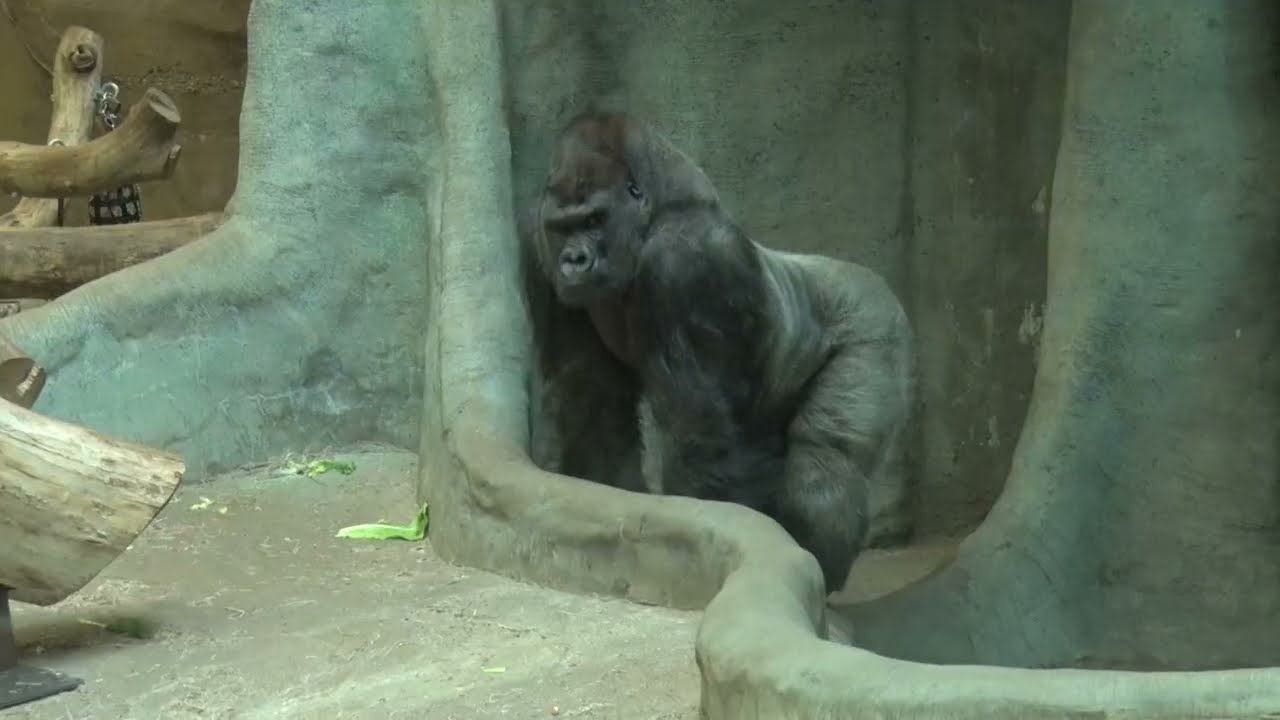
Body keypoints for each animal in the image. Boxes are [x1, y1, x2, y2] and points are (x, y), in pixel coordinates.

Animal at [520, 110, 916, 592]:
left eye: (594, 220)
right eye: (563, 227)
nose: (573, 261)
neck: (656, 212)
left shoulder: (684, 261)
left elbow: (701, 435)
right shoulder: (539, 247)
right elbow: (594, 403)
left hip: (876, 323)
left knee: (826, 459)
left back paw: (820, 566)